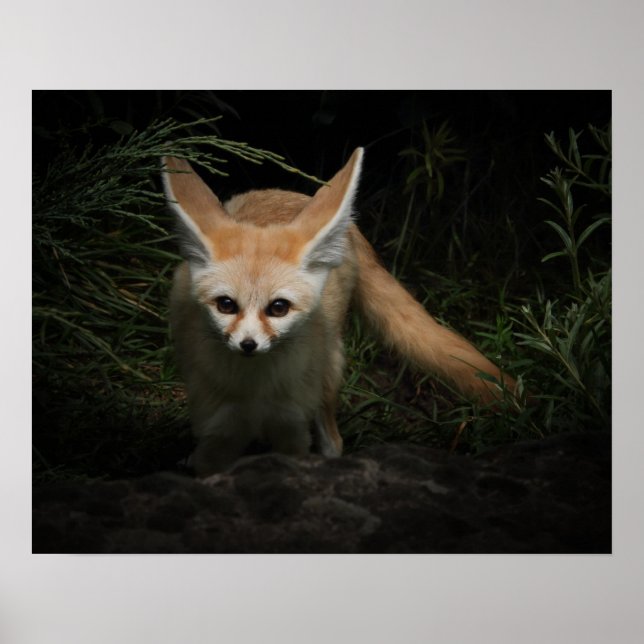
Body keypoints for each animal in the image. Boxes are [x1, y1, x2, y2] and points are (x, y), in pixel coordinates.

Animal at [162, 148, 516, 476]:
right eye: (226, 304)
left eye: (278, 308)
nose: (248, 345)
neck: (255, 392)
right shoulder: (217, 432)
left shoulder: (291, 430)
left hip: (329, 373)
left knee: (333, 438)